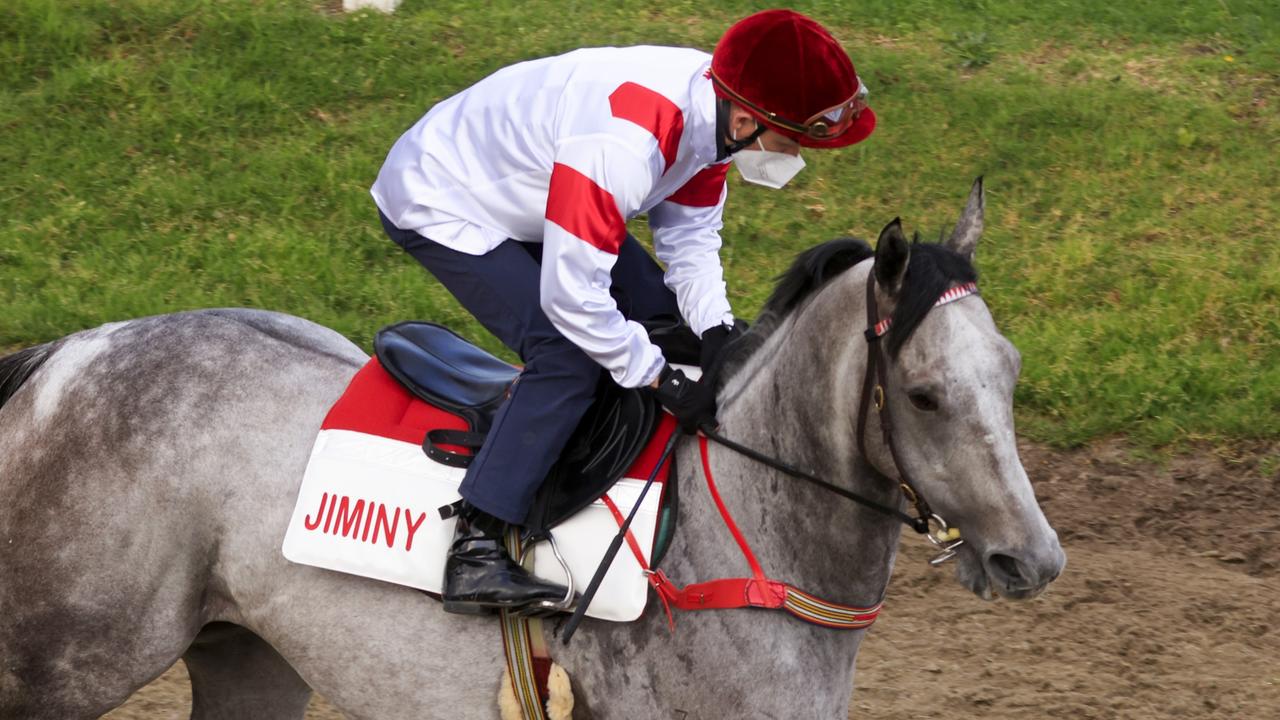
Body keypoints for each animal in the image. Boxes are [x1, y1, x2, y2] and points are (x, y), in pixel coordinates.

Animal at [0, 175, 1059, 717]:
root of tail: (70, 353)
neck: (738, 550)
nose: (1034, 560)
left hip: (248, 655)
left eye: (1009, 370)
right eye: (923, 395)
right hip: (65, 662)